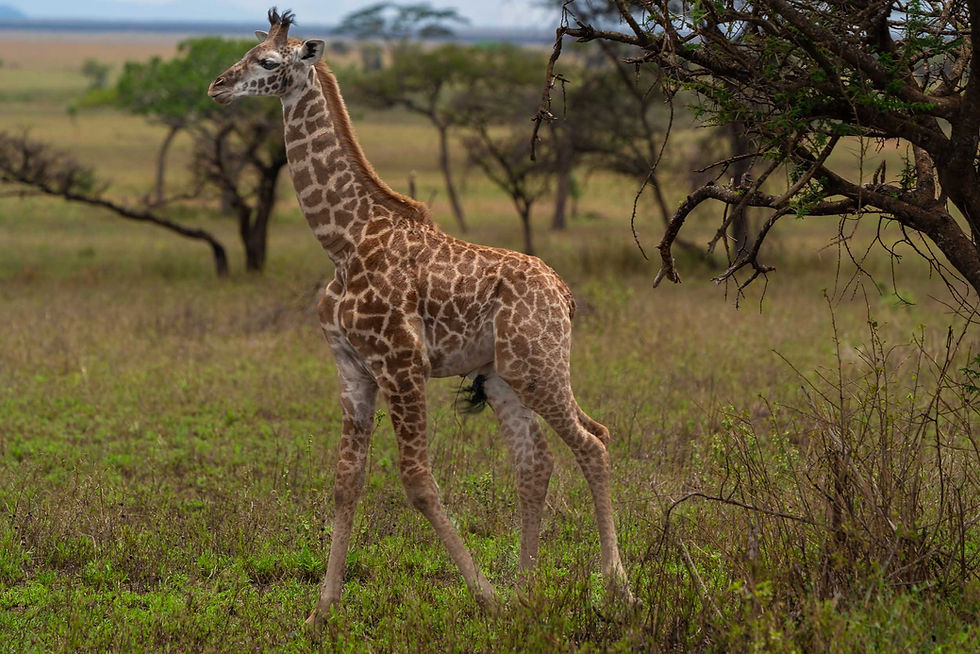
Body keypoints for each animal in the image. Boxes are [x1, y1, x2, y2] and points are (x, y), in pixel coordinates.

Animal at [209, 8, 631, 625]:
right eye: (245, 53)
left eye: (266, 61)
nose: (217, 86)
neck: (344, 241)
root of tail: (565, 294)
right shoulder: (353, 368)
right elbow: (345, 481)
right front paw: (320, 612)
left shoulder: (401, 363)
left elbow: (418, 482)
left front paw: (485, 595)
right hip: (504, 376)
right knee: (536, 462)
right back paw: (528, 588)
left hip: (539, 366)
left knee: (593, 442)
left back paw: (615, 586)